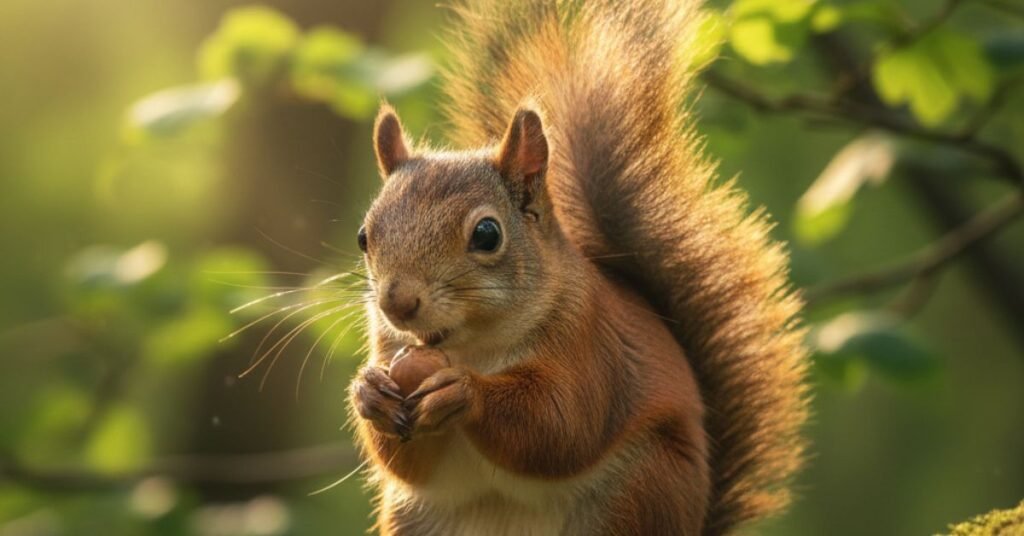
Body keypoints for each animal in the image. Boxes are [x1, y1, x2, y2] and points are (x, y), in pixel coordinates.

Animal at [348, 0, 808, 534]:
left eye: (487, 235)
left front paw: (462, 392)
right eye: (364, 236)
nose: (397, 302)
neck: (472, 348)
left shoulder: (590, 343)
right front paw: (369, 393)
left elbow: (561, 425)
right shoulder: (390, 348)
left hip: (639, 492)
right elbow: (403, 463)